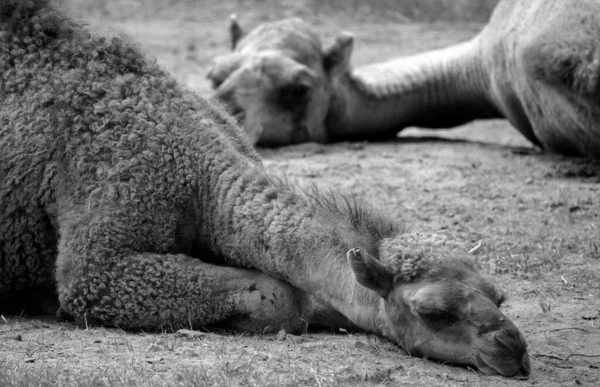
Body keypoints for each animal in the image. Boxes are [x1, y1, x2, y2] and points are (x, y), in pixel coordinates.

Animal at [0, 0, 528, 378]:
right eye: (432, 311)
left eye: (500, 296)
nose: (514, 349)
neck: (203, 180)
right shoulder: (104, 245)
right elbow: (282, 297)